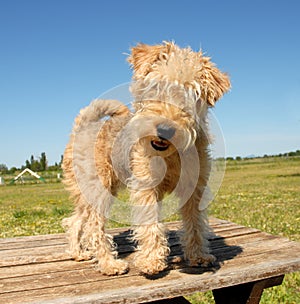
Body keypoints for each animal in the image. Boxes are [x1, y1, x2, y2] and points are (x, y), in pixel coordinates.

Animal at [62, 41, 231, 276]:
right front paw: (152, 261)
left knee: (76, 221)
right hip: (99, 187)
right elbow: (151, 224)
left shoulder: (194, 188)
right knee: (93, 227)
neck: (171, 156)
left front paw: (198, 256)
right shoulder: (146, 186)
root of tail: (84, 127)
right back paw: (110, 264)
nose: (165, 129)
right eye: (156, 86)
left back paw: (78, 253)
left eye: (192, 94)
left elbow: (195, 224)